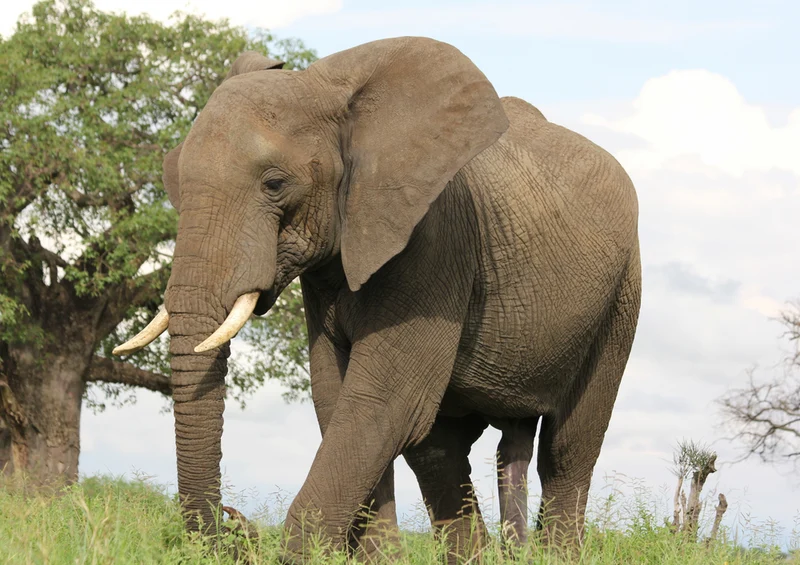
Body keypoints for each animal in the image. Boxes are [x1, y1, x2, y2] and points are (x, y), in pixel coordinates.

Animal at [113, 36, 641, 562]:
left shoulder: (435, 237)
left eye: (275, 184)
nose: (231, 526)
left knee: (567, 448)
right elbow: (337, 397)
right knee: (443, 451)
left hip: (620, 297)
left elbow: (383, 401)